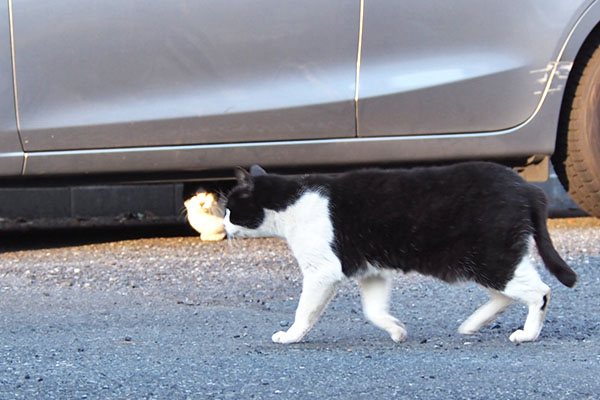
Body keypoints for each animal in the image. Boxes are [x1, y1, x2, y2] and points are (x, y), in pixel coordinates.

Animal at [224, 162, 576, 344]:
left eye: (230, 209)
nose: (223, 225)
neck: (290, 203)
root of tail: (527, 187)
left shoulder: (322, 271)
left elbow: (304, 311)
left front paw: (291, 335)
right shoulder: (371, 272)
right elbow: (373, 310)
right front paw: (396, 331)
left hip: (490, 256)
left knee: (540, 292)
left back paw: (527, 334)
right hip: (483, 260)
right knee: (506, 294)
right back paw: (471, 325)